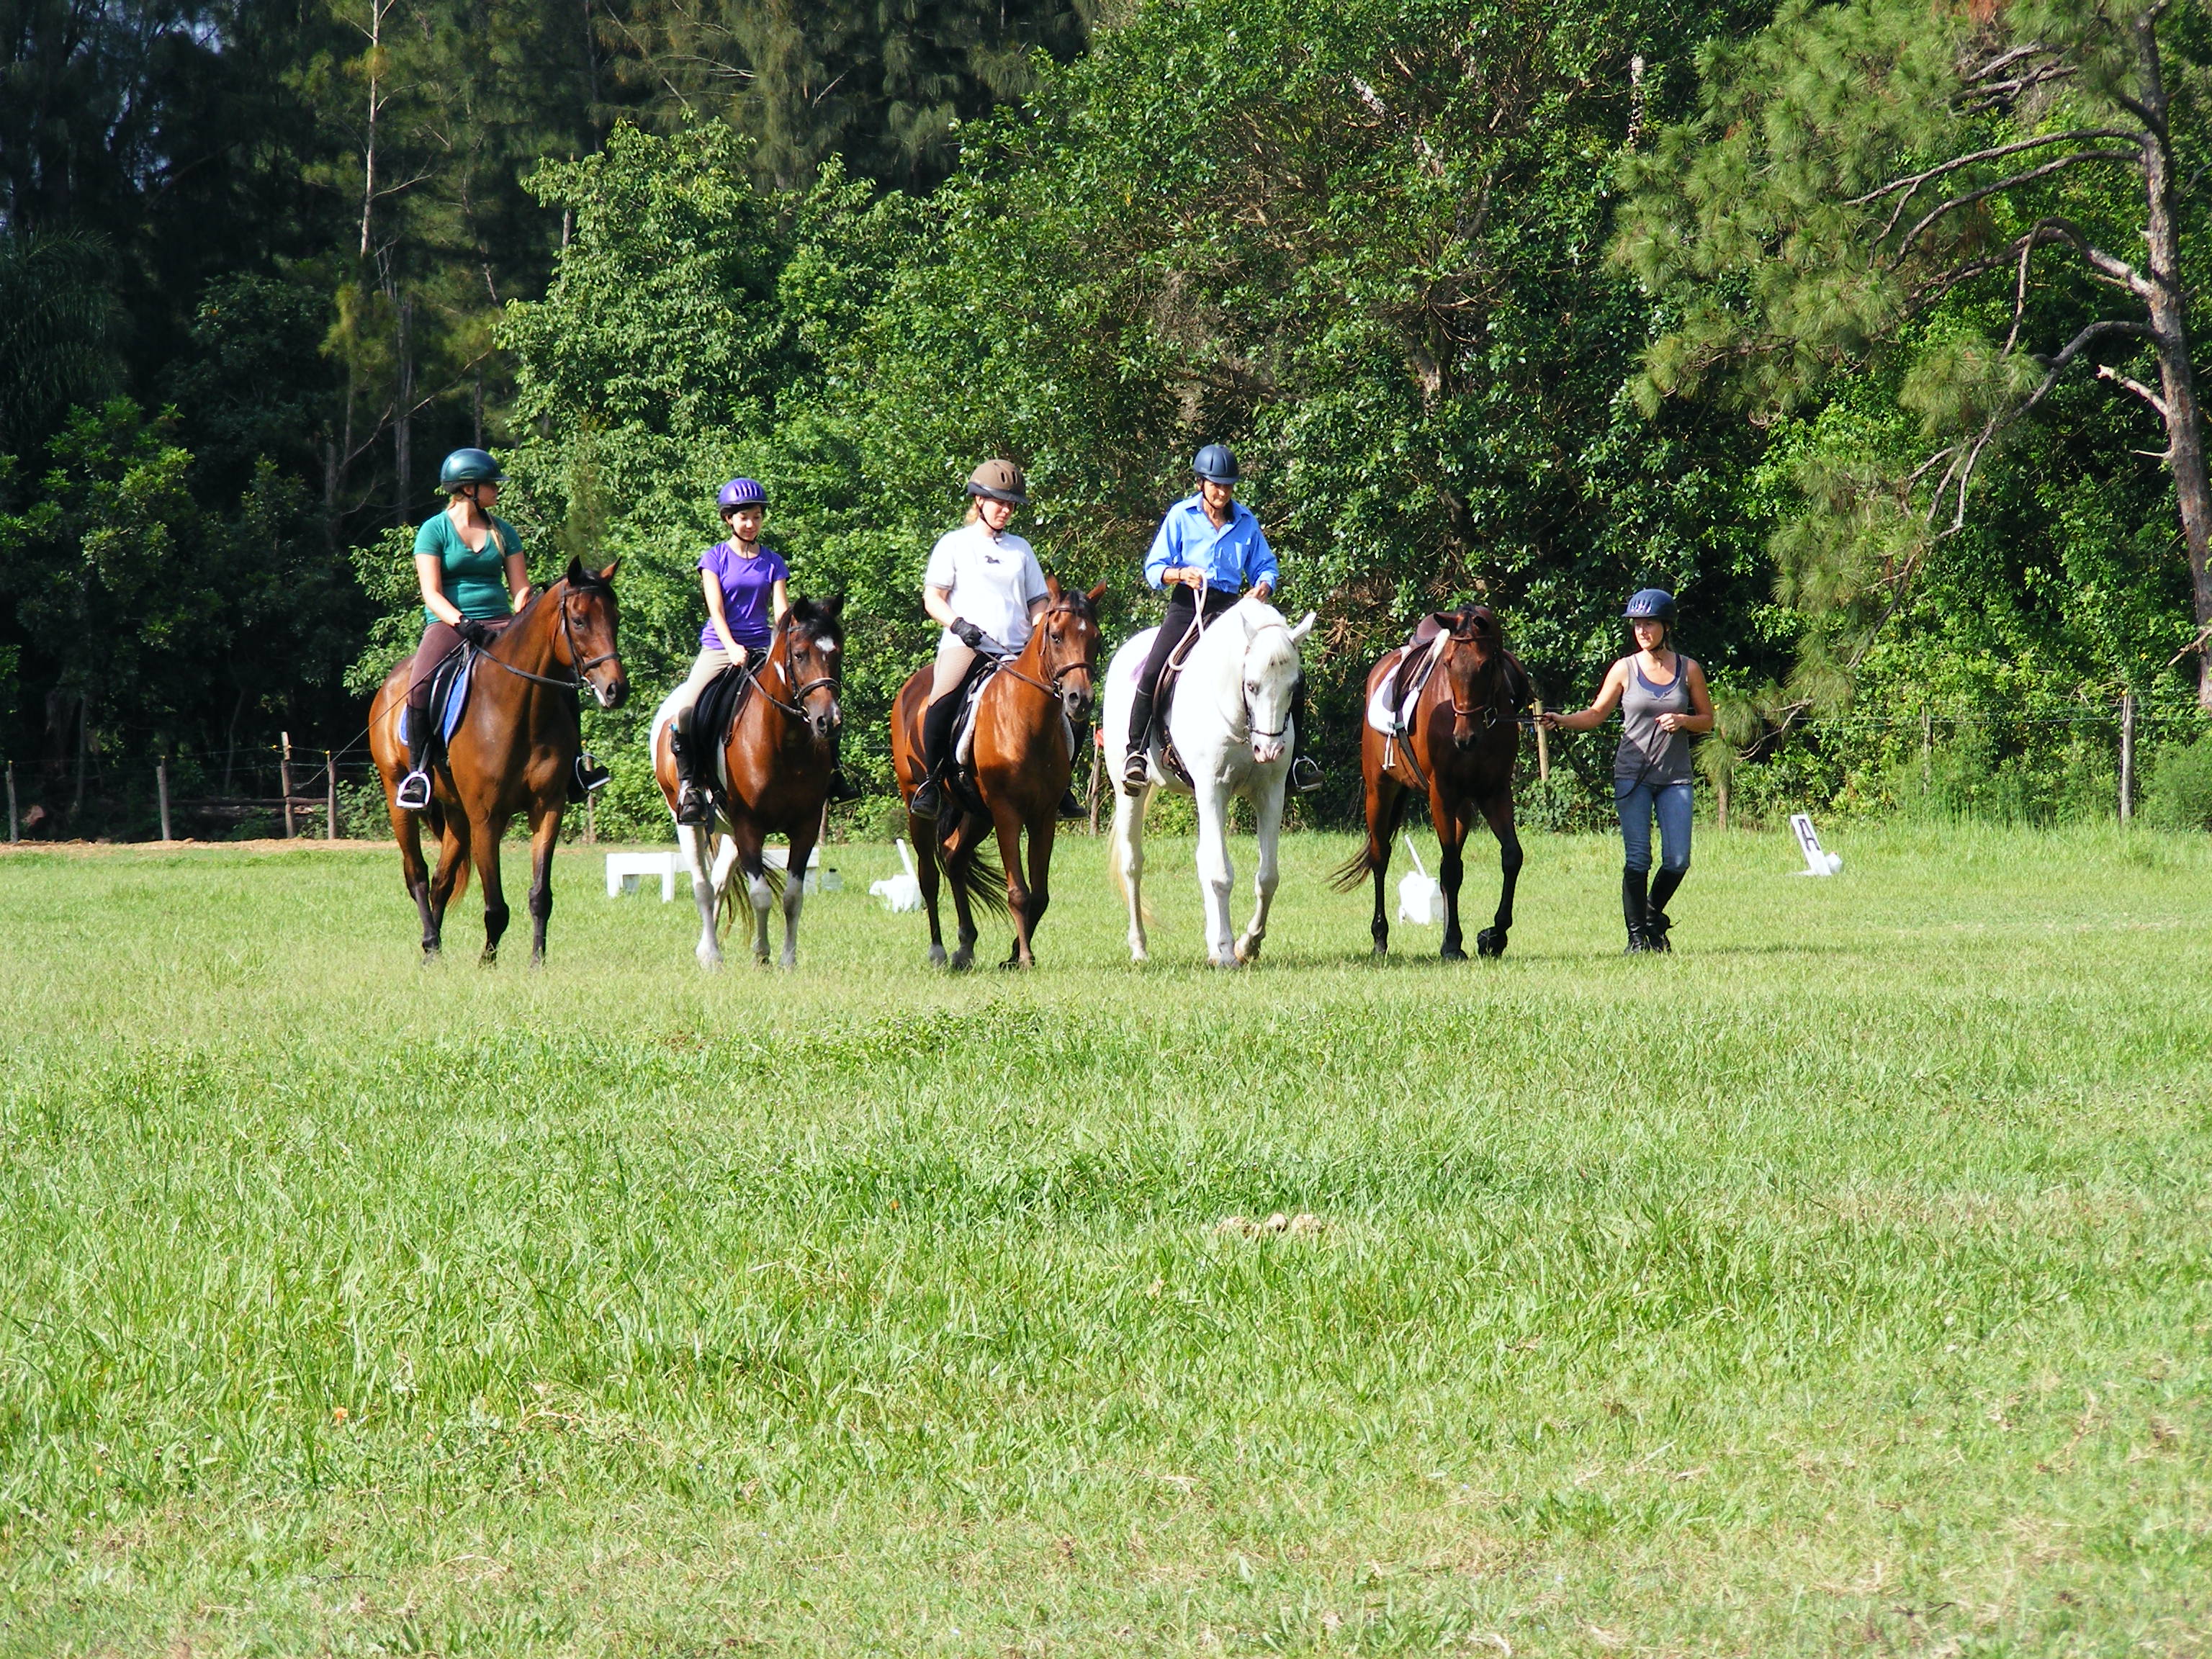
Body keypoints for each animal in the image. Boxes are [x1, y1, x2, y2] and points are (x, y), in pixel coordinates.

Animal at [369, 558, 629, 965]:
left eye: (615, 617)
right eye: (579, 621)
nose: (617, 690)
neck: (520, 707)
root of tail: (392, 682)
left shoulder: (547, 808)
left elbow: (540, 896)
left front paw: (537, 962)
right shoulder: (487, 817)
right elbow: (495, 905)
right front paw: (487, 964)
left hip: (457, 813)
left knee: (441, 881)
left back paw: (436, 951)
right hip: (399, 795)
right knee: (418, 875)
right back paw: (430, 944)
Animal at [649, 597, 845, 969]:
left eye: (837, 653)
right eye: (800, 655)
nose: (829, 722)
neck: (784, 740)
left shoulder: (805, 826)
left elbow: (792, 897)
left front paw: (787, 960)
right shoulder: (750, 826)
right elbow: (761, 895)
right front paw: (762, 955)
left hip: (729, 831)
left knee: (719, 883)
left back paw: (707, 949)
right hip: (689, 821)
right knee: (702, 886)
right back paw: (712, 956)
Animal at [889, 577, 1105, 969]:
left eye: (1095, 638)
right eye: (1055, 636)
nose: (1079, 700)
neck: (1026, 719)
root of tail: (911, 688)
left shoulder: (1043, 816)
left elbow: (1040, 893)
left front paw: (1014, 953)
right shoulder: (1008, 813)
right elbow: (1019, 891)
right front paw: (1025, 958)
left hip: (978, 813)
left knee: (955, 857)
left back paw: (965, 944)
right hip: (920, 802)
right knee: (929, 875)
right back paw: (938, 950)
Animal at [1103, 594, 1317, 967]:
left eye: (1294, 687)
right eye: (1251, 685)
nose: (1269, 750)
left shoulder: (1271, 792)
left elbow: (1267, 876)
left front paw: (1248, 944)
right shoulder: (1213, 789)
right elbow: (1221, 872)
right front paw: (1229, 951)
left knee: (1203, 858)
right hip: (1129, 791)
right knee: (1133, 864)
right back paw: (1140, 948)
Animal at [1331, 606, 1531, 960]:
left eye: (1486, 665)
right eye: (1448, 664)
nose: (1464, 739)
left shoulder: (1494, 793)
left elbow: (1510, 856)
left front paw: (1494, 936)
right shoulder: (1442, 794)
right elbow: (1450, 868)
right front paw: (1452, 943)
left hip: (1462, 808)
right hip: (1379, 792)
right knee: (1381, 857)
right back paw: (1380, 937)